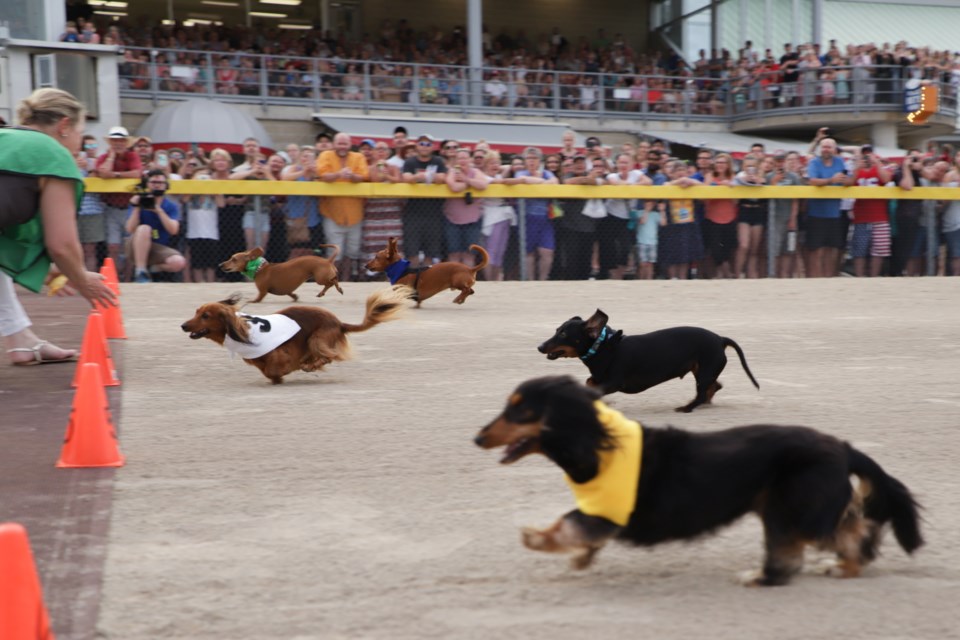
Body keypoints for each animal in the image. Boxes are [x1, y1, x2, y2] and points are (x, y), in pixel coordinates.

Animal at [182, 286, 410, 384]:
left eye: (206, 316)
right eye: (196, 312)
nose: (183, 326)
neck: (242, 330)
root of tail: (338, 322)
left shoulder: (281, 353)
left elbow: (275, 368)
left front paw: (286, 373)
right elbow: (268, 372)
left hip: (316, 339)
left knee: (330, 356)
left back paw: (310, 366)